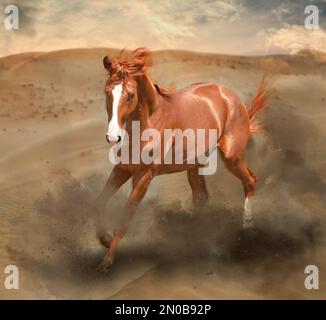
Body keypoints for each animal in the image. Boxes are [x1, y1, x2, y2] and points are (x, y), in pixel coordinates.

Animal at [95, 48, 270, 272]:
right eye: (107, 92)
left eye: (130, 95)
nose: (113, 136)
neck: (149, 122)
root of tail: (230, 96)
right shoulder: (123, 169)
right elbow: (98, 203)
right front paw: (105, 239)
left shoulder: (144, 176)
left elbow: (125, 218)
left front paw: (106, 262)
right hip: (194, 165)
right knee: (201, 197)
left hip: (232, 157)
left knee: (250, 180)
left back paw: (246, 226)